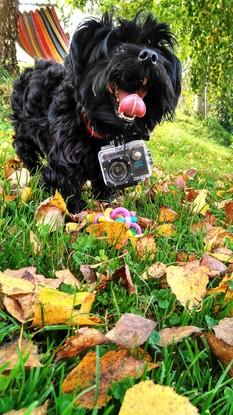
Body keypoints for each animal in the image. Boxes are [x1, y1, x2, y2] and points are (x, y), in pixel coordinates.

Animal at [10, 13, 181, 211]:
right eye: (119, 47)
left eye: (155, 48)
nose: (149, 56)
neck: (102, 128)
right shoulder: (63, 162)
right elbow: (65, 186)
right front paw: (78, 211)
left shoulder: (102, 168)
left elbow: (104, 185)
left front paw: (105, 204)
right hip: (24, 131)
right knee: (24, 149)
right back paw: (32, 169)